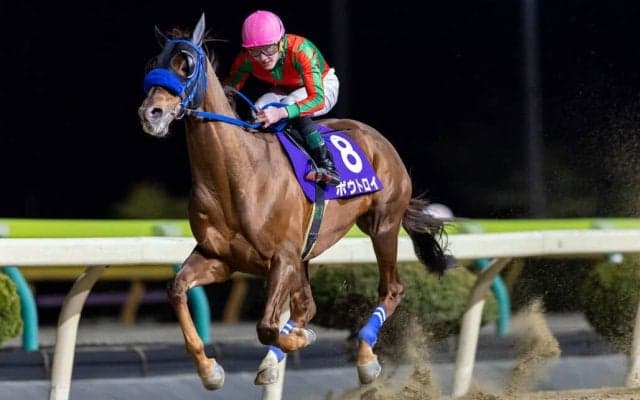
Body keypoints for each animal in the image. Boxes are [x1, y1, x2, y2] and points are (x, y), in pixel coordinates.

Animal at [138, 14, 450, 390]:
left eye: (187, 65)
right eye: (154, 64)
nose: (151, 113)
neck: (236, 174)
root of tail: (378, 139)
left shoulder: (282, 258)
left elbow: (266, 327)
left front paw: (300, 339)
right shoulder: (220, 257)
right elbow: (177, 288)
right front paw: (210, 369)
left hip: (383, 225)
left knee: (391, 289)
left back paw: (365, 357)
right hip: (307, 253)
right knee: (305, 306)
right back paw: (276, 360)